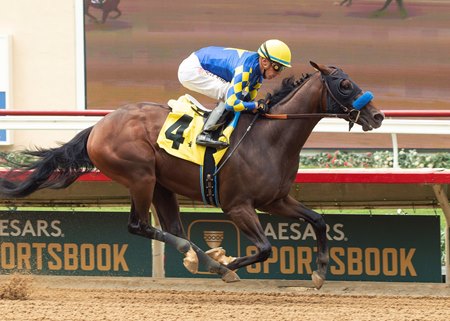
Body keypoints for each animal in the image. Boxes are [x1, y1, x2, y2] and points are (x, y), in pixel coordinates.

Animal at [0, 62, 384, 288]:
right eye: (345, 84)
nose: (378, 116)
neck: (269, 138)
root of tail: (98, 126)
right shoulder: (237, 206)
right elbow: (264, 249)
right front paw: (230, 262)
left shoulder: (276, 199)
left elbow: (318, 220)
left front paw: (319, 271)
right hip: (140, 177)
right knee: (139, 225)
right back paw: (209, 261)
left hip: (160, 185)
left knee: (171, 227)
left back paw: (200, 257)